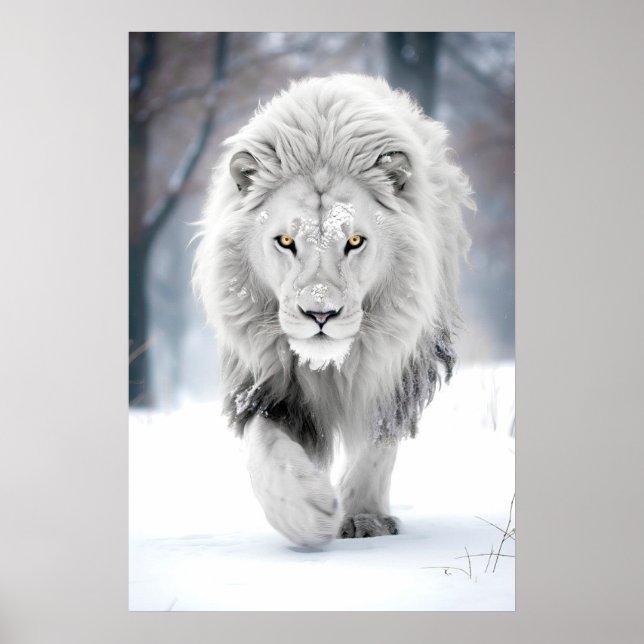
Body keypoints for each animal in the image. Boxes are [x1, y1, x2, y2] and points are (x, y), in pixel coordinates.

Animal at [193, 74, 474, 547]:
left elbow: (377, 442)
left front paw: (363, 518)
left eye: (355, 241)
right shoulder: (263, 381)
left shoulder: (398, 367)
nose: (319, 315)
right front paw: (307, 512)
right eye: (286, 241)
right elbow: (264, 449)